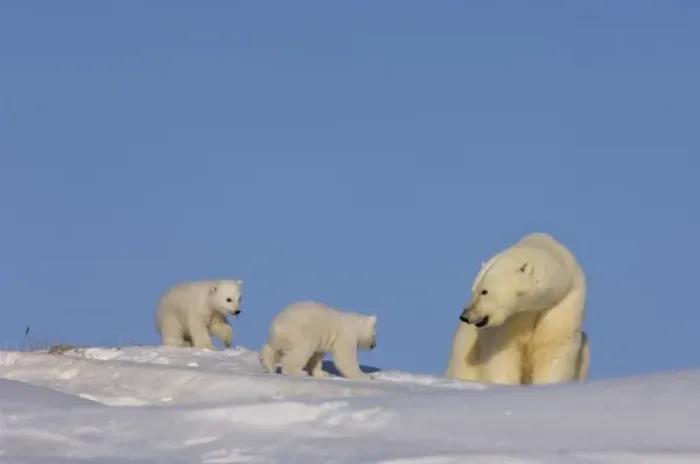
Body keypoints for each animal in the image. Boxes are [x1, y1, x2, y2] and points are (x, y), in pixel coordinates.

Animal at [445, 233, 589, 385]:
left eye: (484, 291)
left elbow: (553, 347)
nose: (465, 315)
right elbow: (502, 353)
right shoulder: (510, 319)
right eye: (473, 290)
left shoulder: (562, 302)